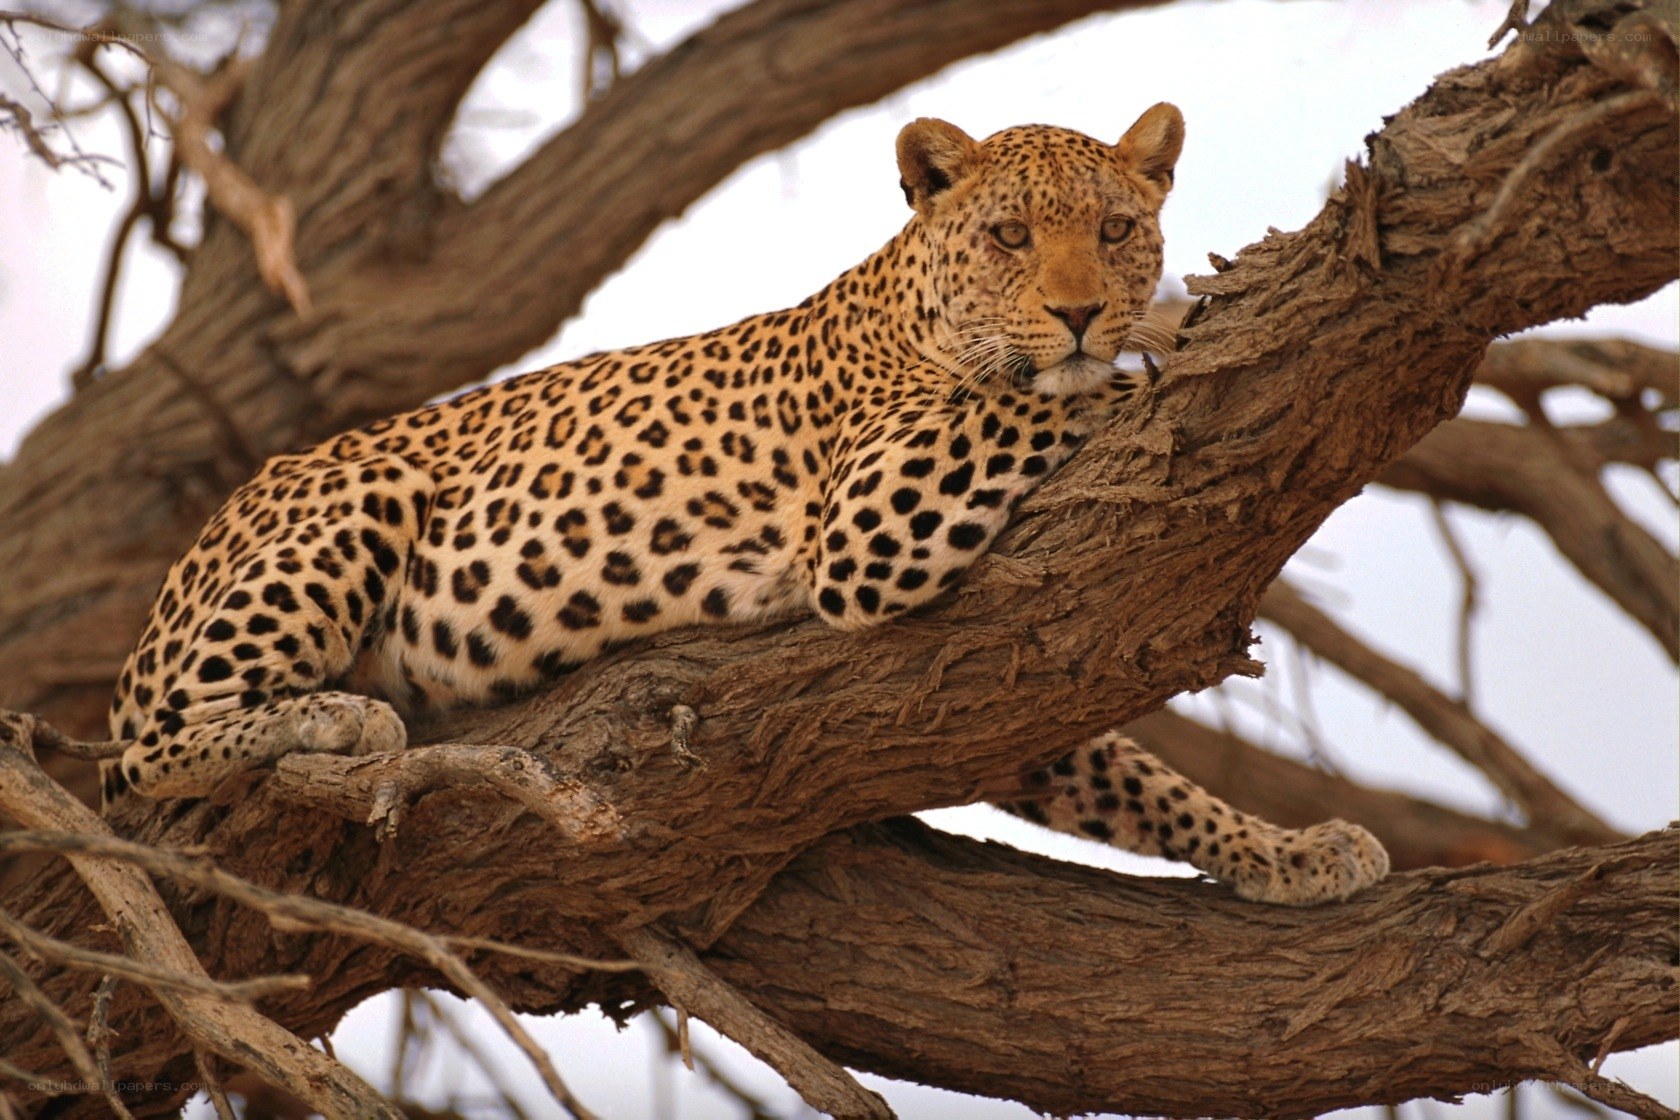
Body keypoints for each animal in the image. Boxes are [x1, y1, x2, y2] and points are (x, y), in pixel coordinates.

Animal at [102, 103, 1388, 907]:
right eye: (1011, 235)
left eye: (1117, 229)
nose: (1079, 311)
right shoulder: (870, 519)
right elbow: (1046, 394)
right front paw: (1170, 344)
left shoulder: (1011, 691)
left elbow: (1134, 779)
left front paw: (1292, 852)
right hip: (354, 500)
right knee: (152, 750)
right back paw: (337, 719)